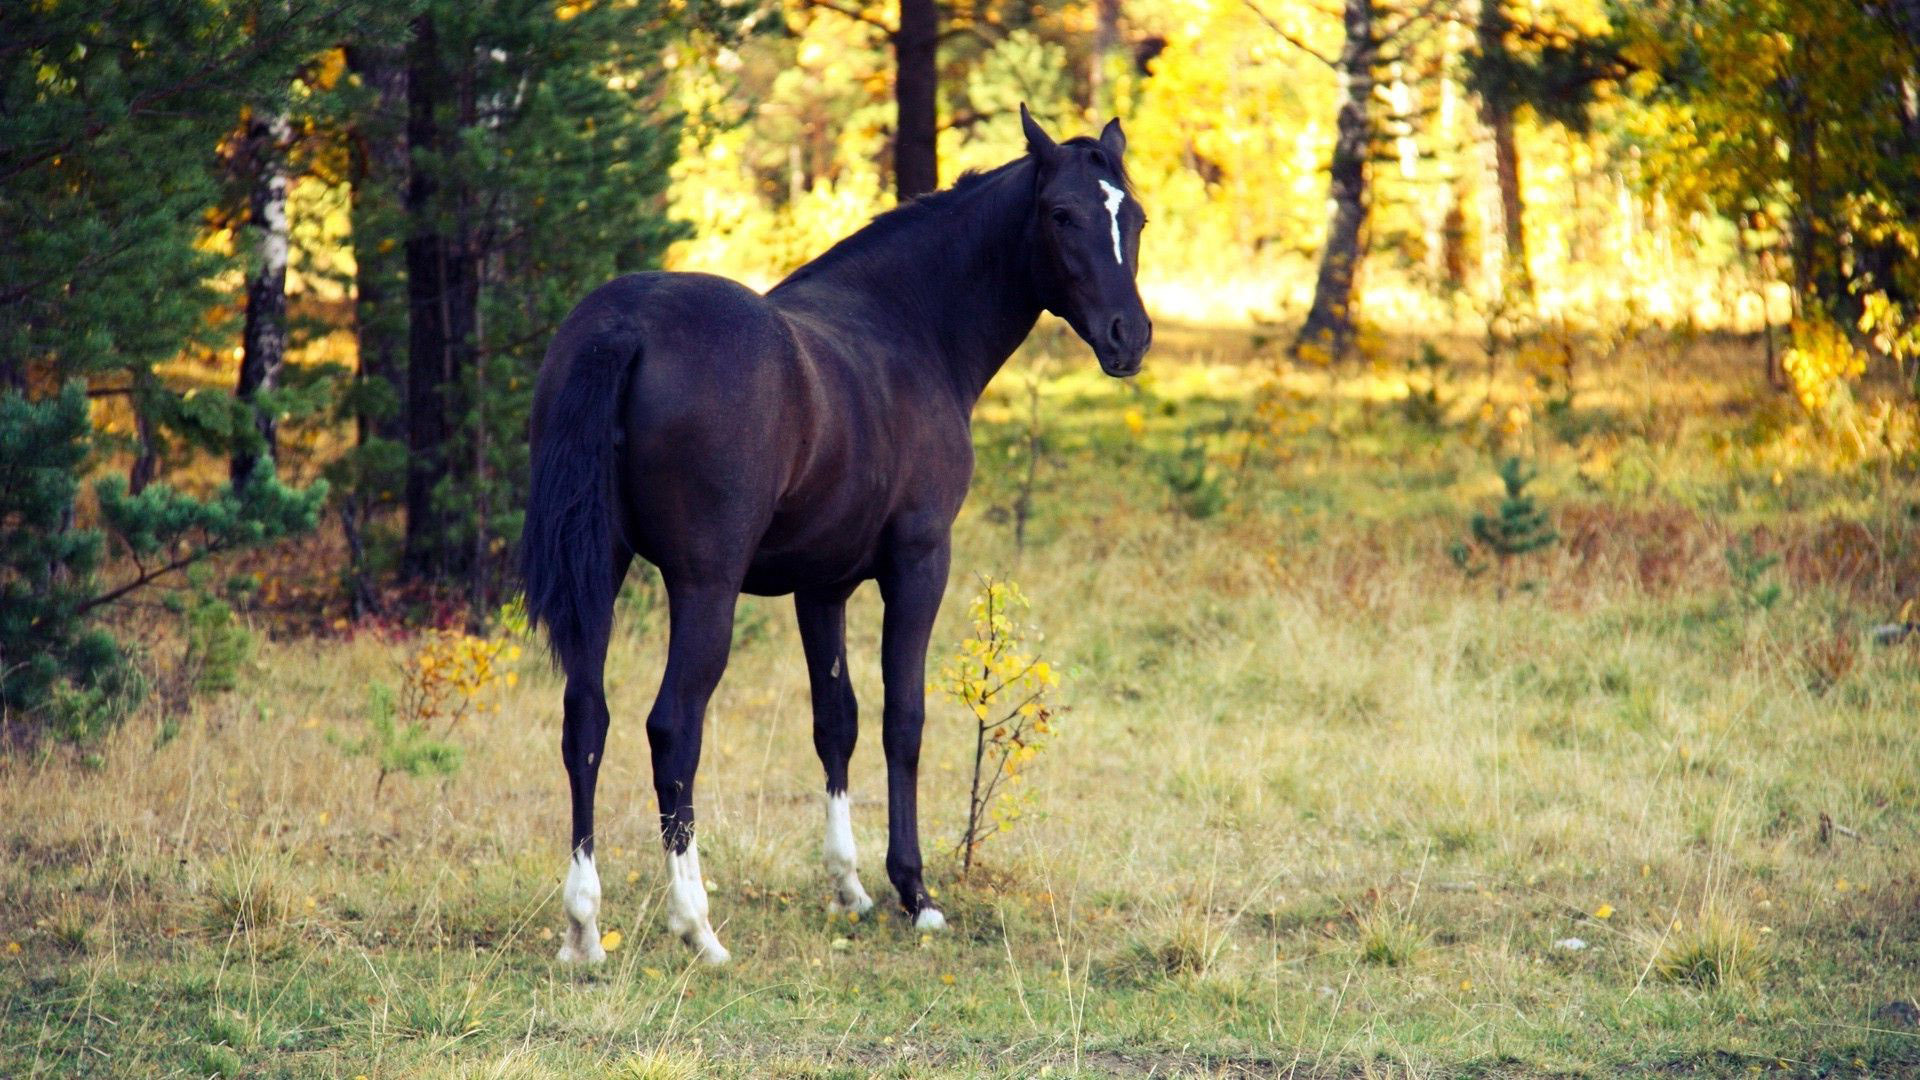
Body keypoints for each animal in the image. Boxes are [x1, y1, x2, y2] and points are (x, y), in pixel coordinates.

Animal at [520, 106, 1151, 965]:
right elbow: (902, 720)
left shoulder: (821, 586)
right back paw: (698, 925)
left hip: (603, 572)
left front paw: (849, 887)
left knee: (586, 719)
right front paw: (914, 892)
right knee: (672, 729)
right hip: (704, 587)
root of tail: (623, 325)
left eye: (1135, 217)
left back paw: (584, 928)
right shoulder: (919, 563)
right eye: (1062, 215)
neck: (908, 329)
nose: (1129, 336)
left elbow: (836, 722)